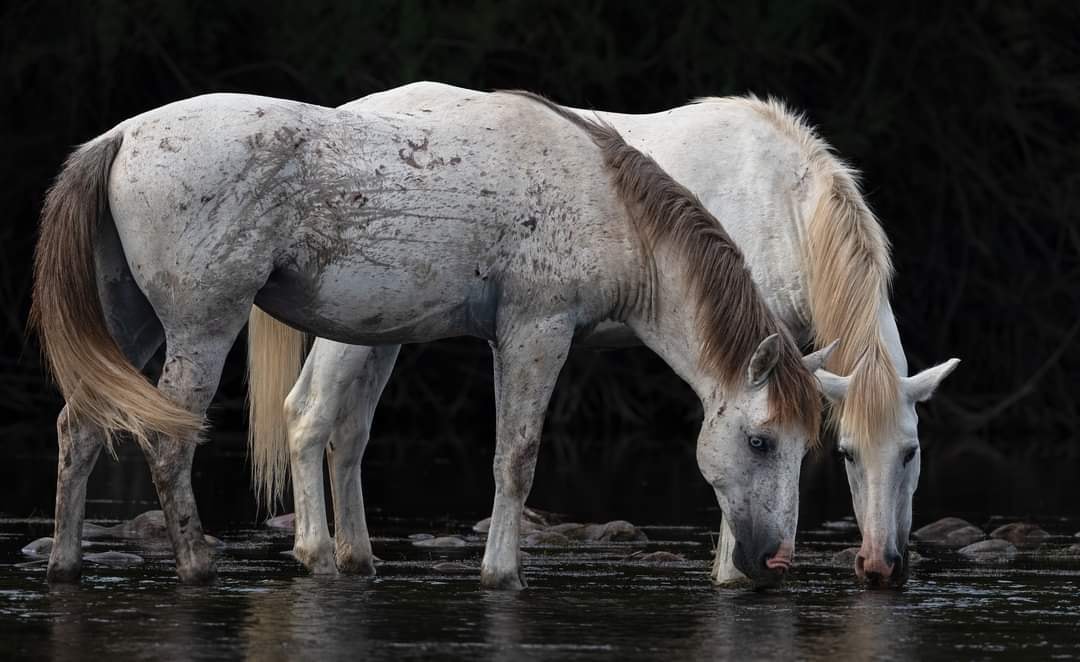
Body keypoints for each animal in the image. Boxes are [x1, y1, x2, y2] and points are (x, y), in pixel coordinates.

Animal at [29, 90, 829, 587]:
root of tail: (120, 137)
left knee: (78, 428)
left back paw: (66, 565)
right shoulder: (534, 330)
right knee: (167, 440)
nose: (774, 559)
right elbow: (516, 458)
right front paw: (502, 573)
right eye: (760, 441)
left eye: (804, 447)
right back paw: (196, 566)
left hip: (128, 321)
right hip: (201, 328)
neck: (610, 206)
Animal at [248, 83, 959, 587]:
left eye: (911, 453)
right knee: (309, 416)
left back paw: (357, 559)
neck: (782, 204)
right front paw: (731, 575)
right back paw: (319, 554)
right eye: (846, 454)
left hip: (380, 329)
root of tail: (348, 113)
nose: (881, 566)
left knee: (348, 434)